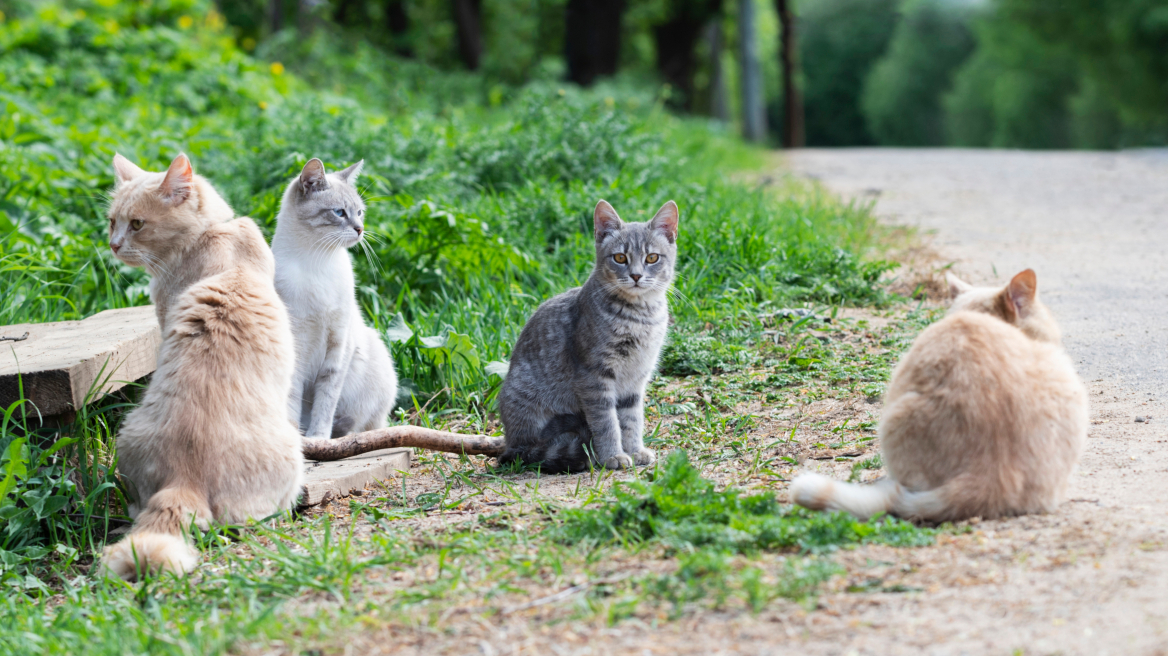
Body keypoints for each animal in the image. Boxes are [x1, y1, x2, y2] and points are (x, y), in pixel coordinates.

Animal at [270, 155, 399, 436]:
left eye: (359, 212)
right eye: (339, 212)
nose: (360, 229)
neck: (319, 263)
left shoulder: (338, 345)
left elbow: (326, 402)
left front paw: (318, 438)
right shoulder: (296, 344)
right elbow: (293, 399)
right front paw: (300, 438)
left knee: (363, 425)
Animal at [497, 199, 682, 469]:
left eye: (652, 257)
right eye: (620, 257)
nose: (636, 275)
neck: (639, 318)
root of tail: (511, 444)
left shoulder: (636, 378)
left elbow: (631, 419)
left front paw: (635, 450)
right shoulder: (594, 376)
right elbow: (607, 423)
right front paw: (613, 455)